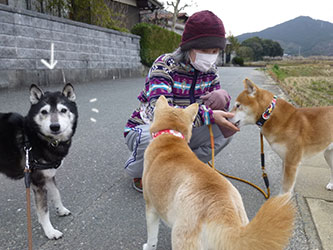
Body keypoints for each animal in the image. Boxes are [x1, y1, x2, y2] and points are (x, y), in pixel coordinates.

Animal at [142, 95, 294, 250]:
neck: (170, 135)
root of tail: (221, 209)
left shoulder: (150, 207)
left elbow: (152, 237)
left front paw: (148, 246)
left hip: (182, 237)